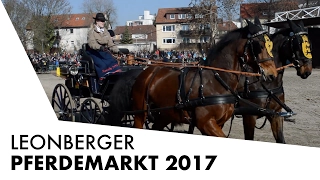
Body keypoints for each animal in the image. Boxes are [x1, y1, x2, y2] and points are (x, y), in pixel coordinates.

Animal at [127, 17, 278, 136]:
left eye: (270, 44)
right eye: (259, 45)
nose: (272, 74)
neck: (216, 80)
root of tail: (145, 72)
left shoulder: (219, 123)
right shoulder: (205, 123)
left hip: (165, 115)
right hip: (140, 115)